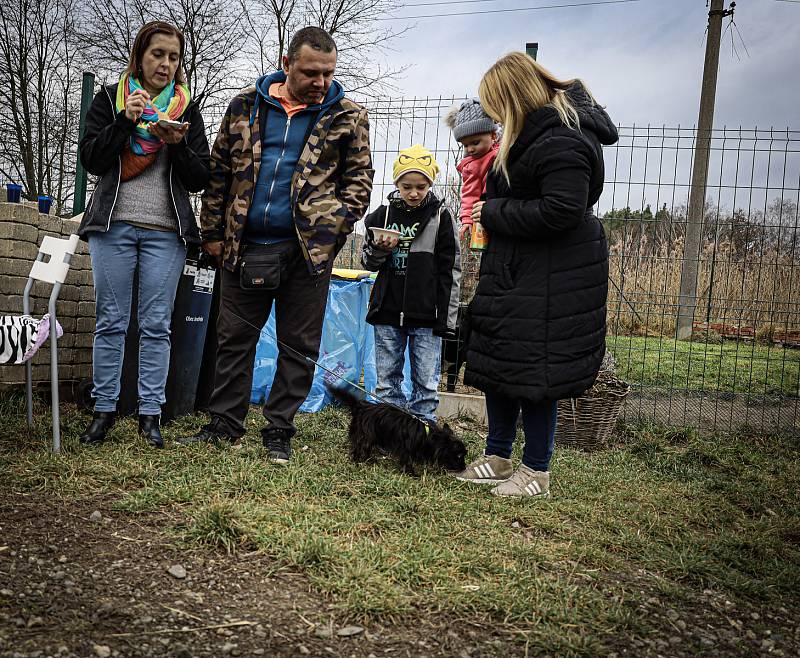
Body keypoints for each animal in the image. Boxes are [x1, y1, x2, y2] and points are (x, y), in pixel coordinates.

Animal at [330, 382, 468, 474]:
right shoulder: (406, 449)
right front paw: (412, 473)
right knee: (359, 448)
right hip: (366, 435)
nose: (464, 468)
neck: (427, 434)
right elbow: (407, 461)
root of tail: (361, 406)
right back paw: (359, 461)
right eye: (459, 456)